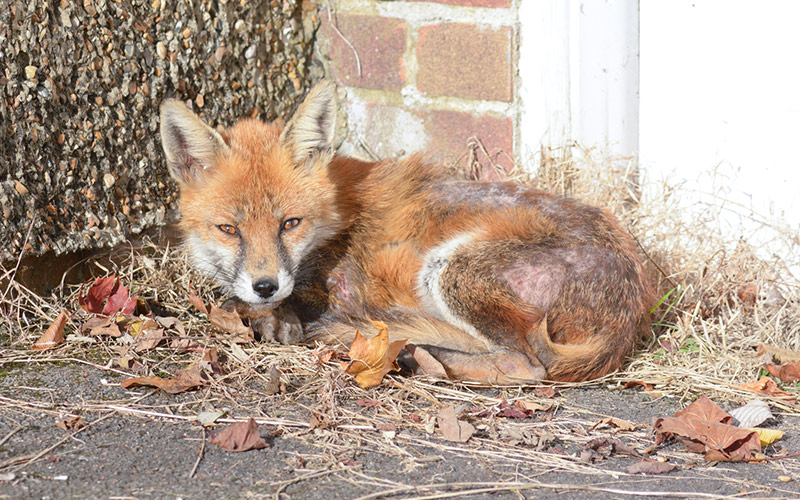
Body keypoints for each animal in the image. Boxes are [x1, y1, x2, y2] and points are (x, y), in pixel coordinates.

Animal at [159, 80, 652, 382]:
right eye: (229, 229)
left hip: (449, 270)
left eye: (290, 223)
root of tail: (633, 302)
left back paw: (420, 355)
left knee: (524, 365)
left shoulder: (346, 293)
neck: (336, 219)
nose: (265, 285)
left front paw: (273, 318)